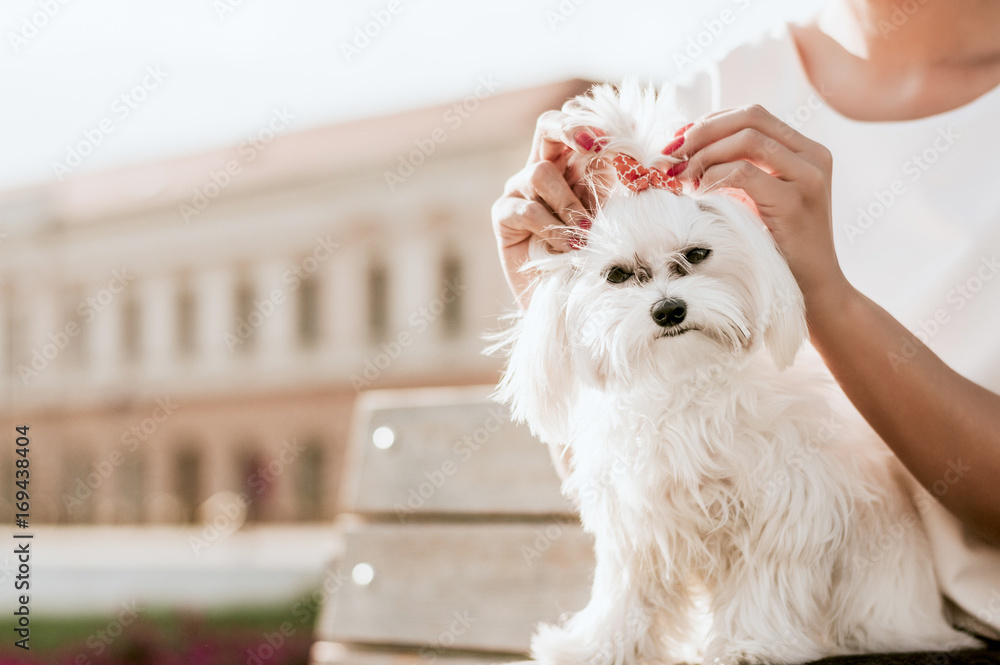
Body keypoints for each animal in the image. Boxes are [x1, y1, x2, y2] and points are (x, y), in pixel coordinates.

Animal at [492, 83, 976, 664]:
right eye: (618, 275)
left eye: (697, 254)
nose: (669, 310)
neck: (685, 387)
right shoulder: (638, 521)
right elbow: (626, 591)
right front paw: (598, 647)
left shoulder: (785, 506)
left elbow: (763, 583)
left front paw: (748, 646)